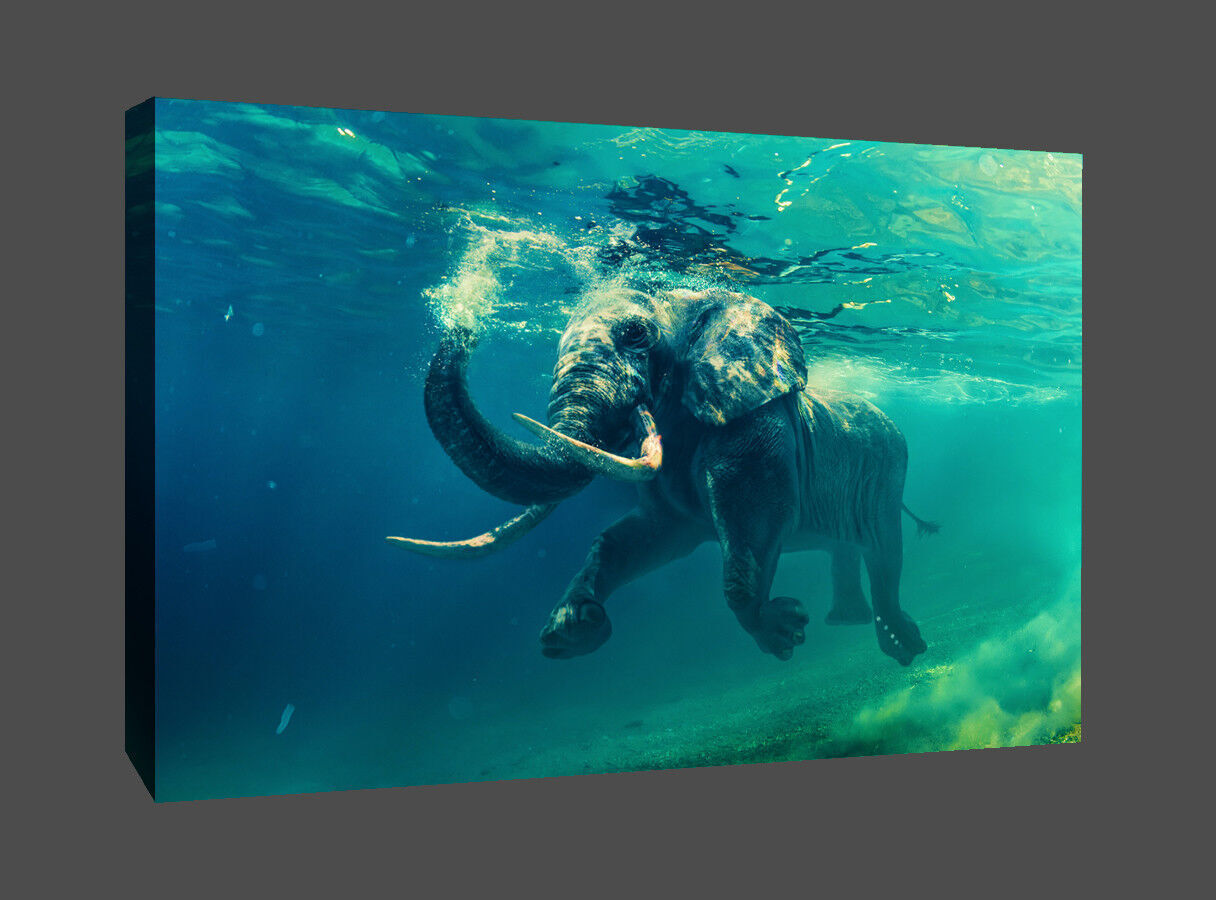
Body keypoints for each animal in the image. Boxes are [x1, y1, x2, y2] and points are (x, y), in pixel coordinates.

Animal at [388, 287, 937, 666]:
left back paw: (901, 646)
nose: (464, 324)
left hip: (890, 472)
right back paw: (848, 623)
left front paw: (783, 633)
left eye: (636, 334)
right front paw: (571, 630)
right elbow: (637, 538)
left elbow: (755, 520)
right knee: (847, 548)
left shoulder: (755, 425)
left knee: (885, 553)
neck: (692, 300)